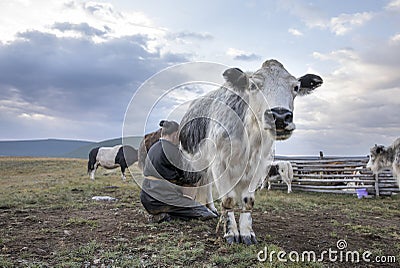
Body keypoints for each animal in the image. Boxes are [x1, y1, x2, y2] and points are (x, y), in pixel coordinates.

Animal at [178, 59, 322, 245]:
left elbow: (248, 201)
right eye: (253, 86)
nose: (280, 117)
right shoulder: (220, 163)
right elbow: (229, 199)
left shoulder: (259, 167)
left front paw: (246, 232)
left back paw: (211, 208)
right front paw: (231, 232)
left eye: (296, 87)